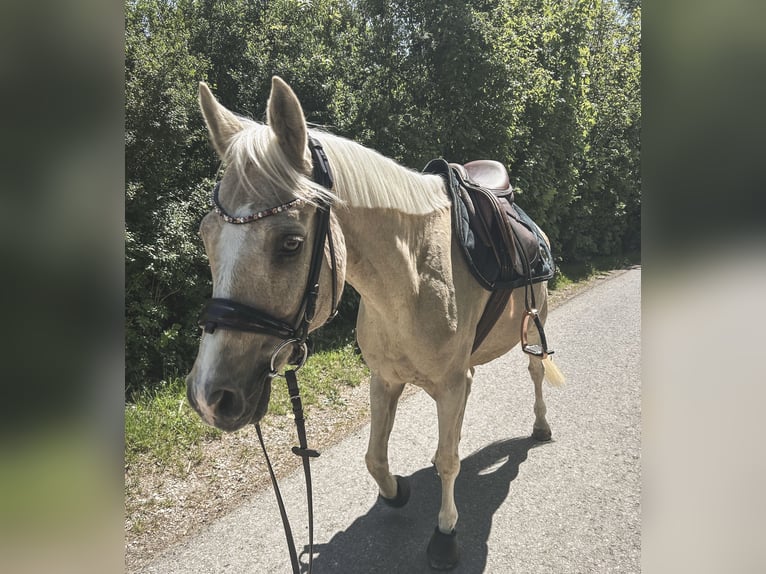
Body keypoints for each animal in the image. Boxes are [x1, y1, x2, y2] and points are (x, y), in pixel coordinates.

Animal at [185, 76, 563, 570]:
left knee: (536, 373)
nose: (209, 397)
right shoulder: (385, 379)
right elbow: (375, 458)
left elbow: (449, 460)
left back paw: (540, 426)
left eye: (290, 243)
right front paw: (398, 491)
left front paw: (445, 534)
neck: (411, 279)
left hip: (534, 328)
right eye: (206, 235)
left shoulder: (448, 383)